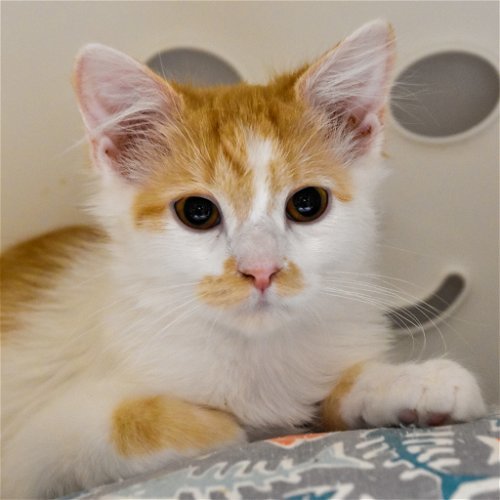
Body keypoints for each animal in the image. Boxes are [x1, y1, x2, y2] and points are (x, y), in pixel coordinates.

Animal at [0, 20, 484, 500]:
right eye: (197, 212)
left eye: (308, 203)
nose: (261, 270)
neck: (253, 354)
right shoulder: (35, 442)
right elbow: (151, 423)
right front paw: (237, 427)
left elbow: (334, 395)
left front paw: (416, 382)